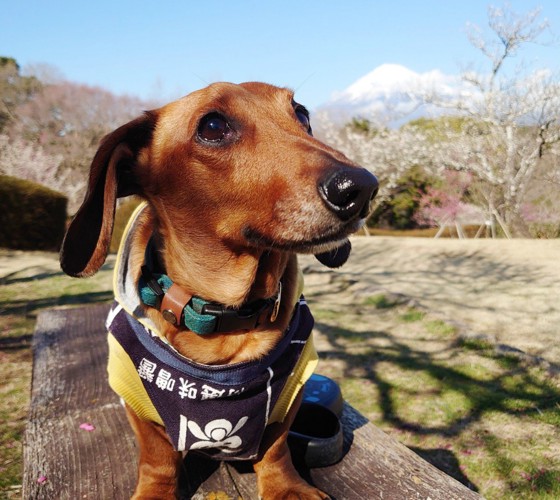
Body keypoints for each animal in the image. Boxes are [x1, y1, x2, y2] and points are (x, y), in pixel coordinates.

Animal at [60, 83, 376, 500]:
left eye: (302, 114)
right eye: (212, 126)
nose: (361, 187)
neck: (225, 317)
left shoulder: (293, 385)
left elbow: (276, 446)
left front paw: (287, 487)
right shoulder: (131, 388)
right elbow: (157, 457)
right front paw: (156, 490)